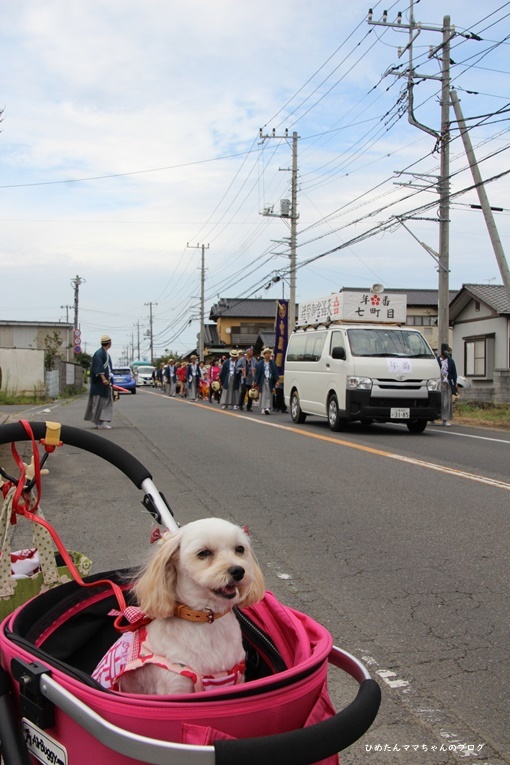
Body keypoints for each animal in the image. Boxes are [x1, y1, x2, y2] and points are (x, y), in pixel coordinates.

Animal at [93, 520, 264, 692]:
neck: (206, 620)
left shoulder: (238, 677)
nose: (238, 570)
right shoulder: (175, 686)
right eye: (203, 553)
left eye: (240, 549)